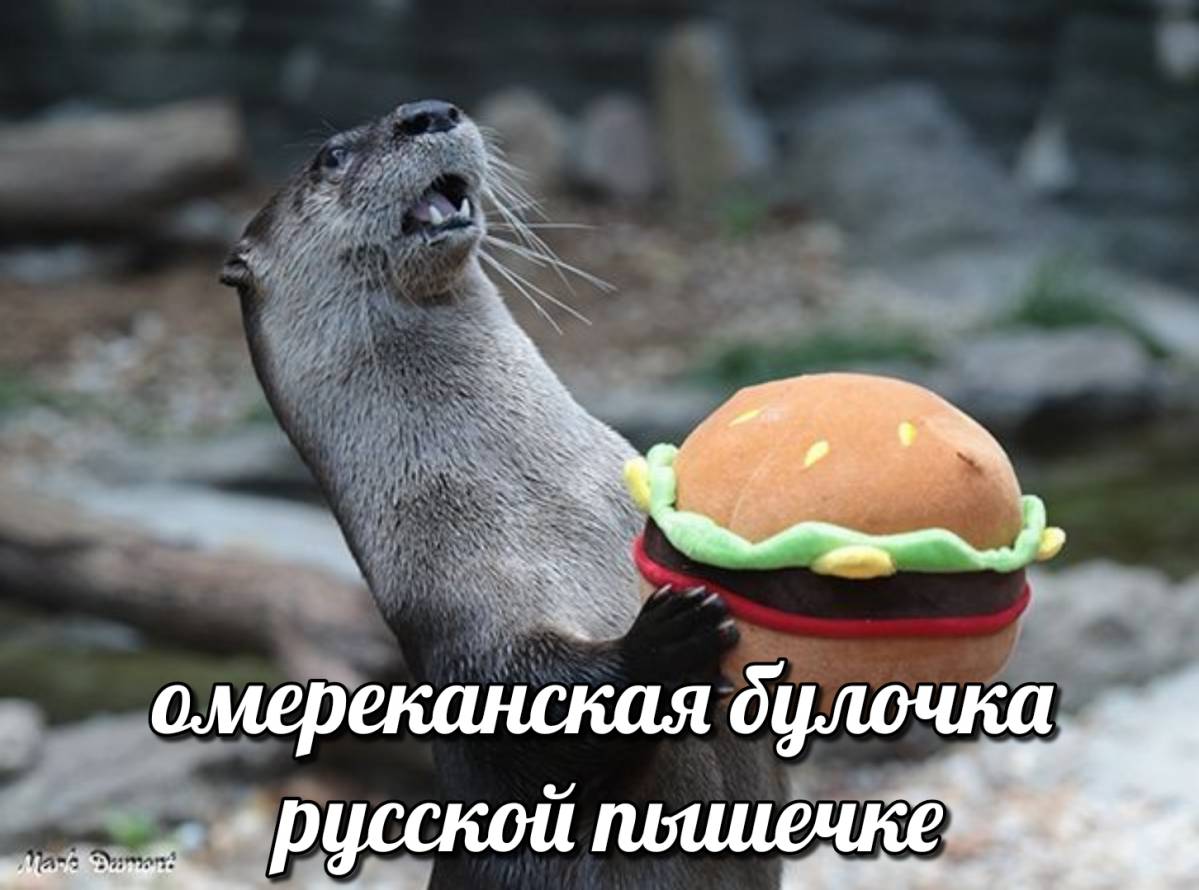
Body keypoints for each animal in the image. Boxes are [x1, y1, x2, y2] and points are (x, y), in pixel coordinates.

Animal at [220, 100, 782, 889]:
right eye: (331, 157)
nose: (428, 112)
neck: (552, 506)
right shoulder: (454, 614)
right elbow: (529, 736)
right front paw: (666, 638)